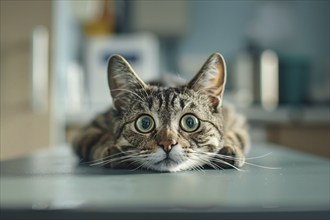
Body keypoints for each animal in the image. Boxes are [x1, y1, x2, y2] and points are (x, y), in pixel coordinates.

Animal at [73, 52, 250, 172]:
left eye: (190, 122)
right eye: (144, 123)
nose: (167, 144)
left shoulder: (237, 121)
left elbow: (235, 135)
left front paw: (228, 147)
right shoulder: (90, 129)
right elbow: (99, 140)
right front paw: (113, 151)